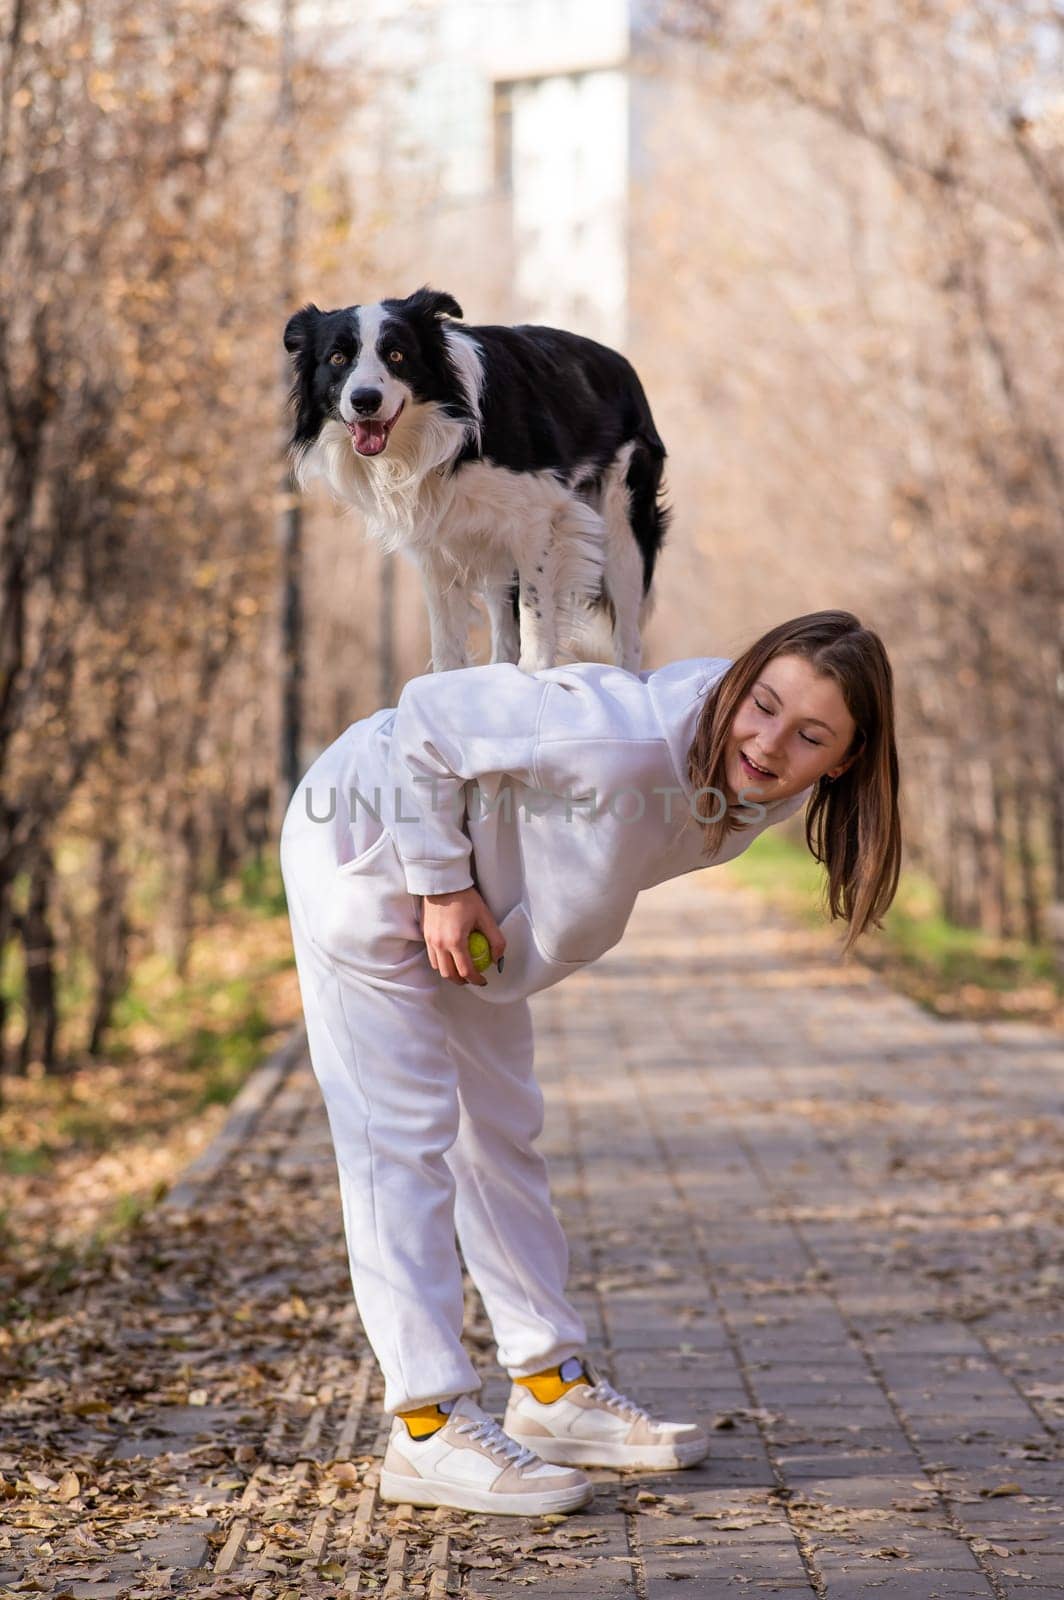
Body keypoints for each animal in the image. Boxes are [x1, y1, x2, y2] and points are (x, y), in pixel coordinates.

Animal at [281, 291, 665, 672]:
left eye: (396, 355)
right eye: (337, 357)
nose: (364, 400)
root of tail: (621, 363)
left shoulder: (539, 516)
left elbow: (536, 610)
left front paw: (534, 672)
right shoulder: (434, 539)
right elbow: (445, 637)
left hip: (623, 523)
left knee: (628, 630)